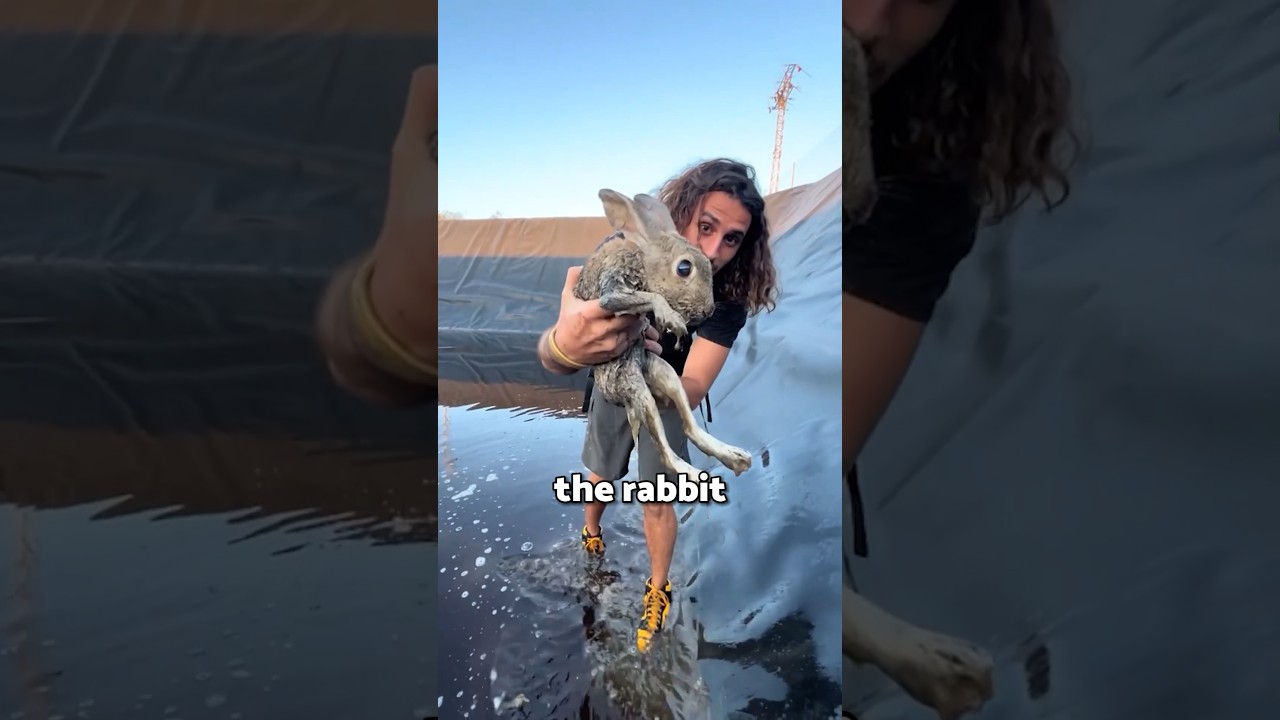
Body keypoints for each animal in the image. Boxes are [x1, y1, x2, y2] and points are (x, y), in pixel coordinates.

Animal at [574, 189, 752, 480]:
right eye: (684, 268)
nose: (708, 310)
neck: (642, 258)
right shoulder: (612, 292)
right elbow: (644, 297)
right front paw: (672, 319)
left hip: (665, 373)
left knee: (689, 429)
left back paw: (735, 457)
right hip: (637, 388)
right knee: (667, 455)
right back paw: (701, 472)